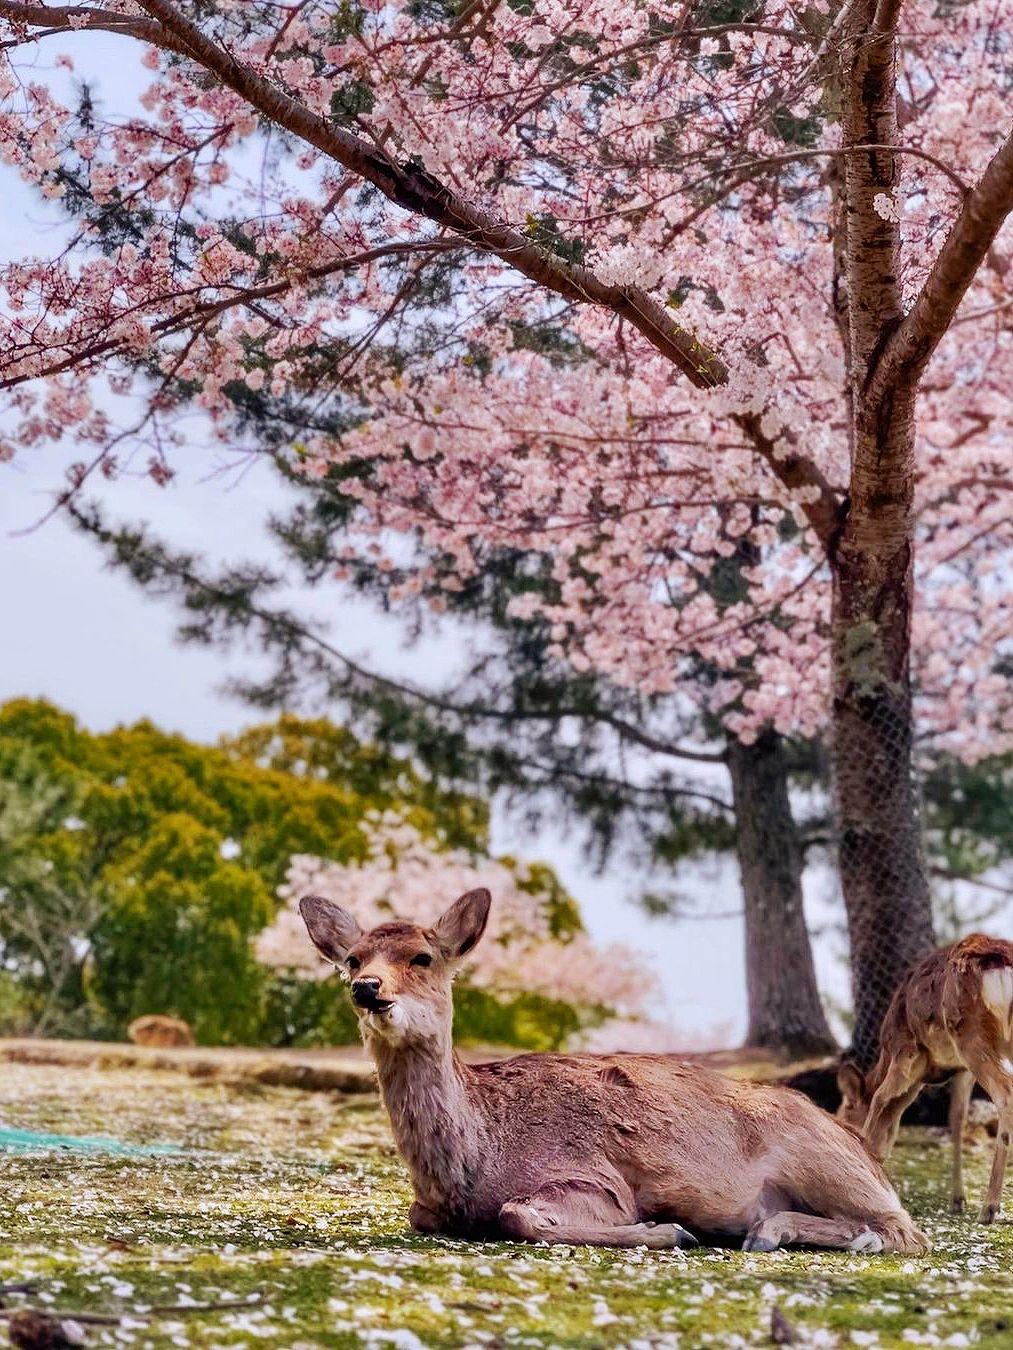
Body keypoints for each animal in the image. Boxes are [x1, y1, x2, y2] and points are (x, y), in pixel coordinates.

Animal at [297, 885, 934, 1252]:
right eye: (352, 957)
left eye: (423, 956)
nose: (366, 988)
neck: (477, 1158)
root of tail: (863, 1150)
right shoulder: (426, 1207)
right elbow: (422, 1216)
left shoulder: (593, 1177)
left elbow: (515, 1215)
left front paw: (668, 1228)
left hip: (824, 1160)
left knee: (905, 1230)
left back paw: (771, 1232)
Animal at [842, 934, 1013, 1231]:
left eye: (840, 1117)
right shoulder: (960, 1069)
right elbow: (956, 1119)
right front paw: (957, 1200)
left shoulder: (905, 1051)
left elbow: (879, 1098)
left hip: (972, 1036)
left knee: (1006, 1094)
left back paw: (989, 1207)